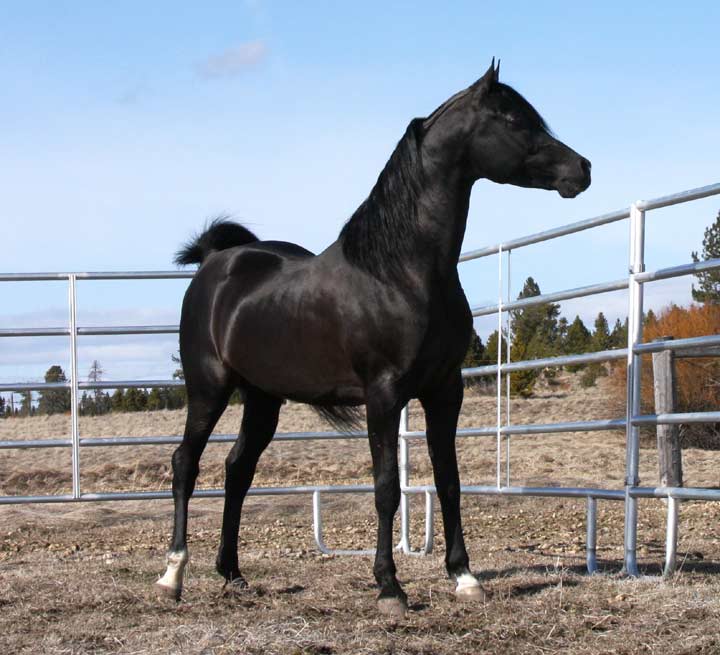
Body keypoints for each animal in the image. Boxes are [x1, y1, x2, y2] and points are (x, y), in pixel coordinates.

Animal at [158, 59, 592, 616]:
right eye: (516, 120)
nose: (581, 169)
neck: (400, 272)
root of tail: (217, 262)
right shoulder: (383, 396)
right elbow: (386, 486)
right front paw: (389, 586)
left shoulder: (444, 391)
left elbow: (449, 481)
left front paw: (464, 577)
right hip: (208, 388)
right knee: (185, 464)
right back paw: (172, 575)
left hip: (262, 398)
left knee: (238, 470)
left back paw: (232, 573)